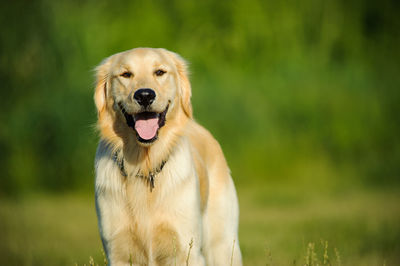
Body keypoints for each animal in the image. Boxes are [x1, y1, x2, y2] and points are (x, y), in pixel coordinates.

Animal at [94, 48, 242, 266]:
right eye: (126, 74)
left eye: (160, 72)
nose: (144, 95)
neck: (144, 165)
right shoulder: (117, 251)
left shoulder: (186, 249)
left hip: (222, 243)